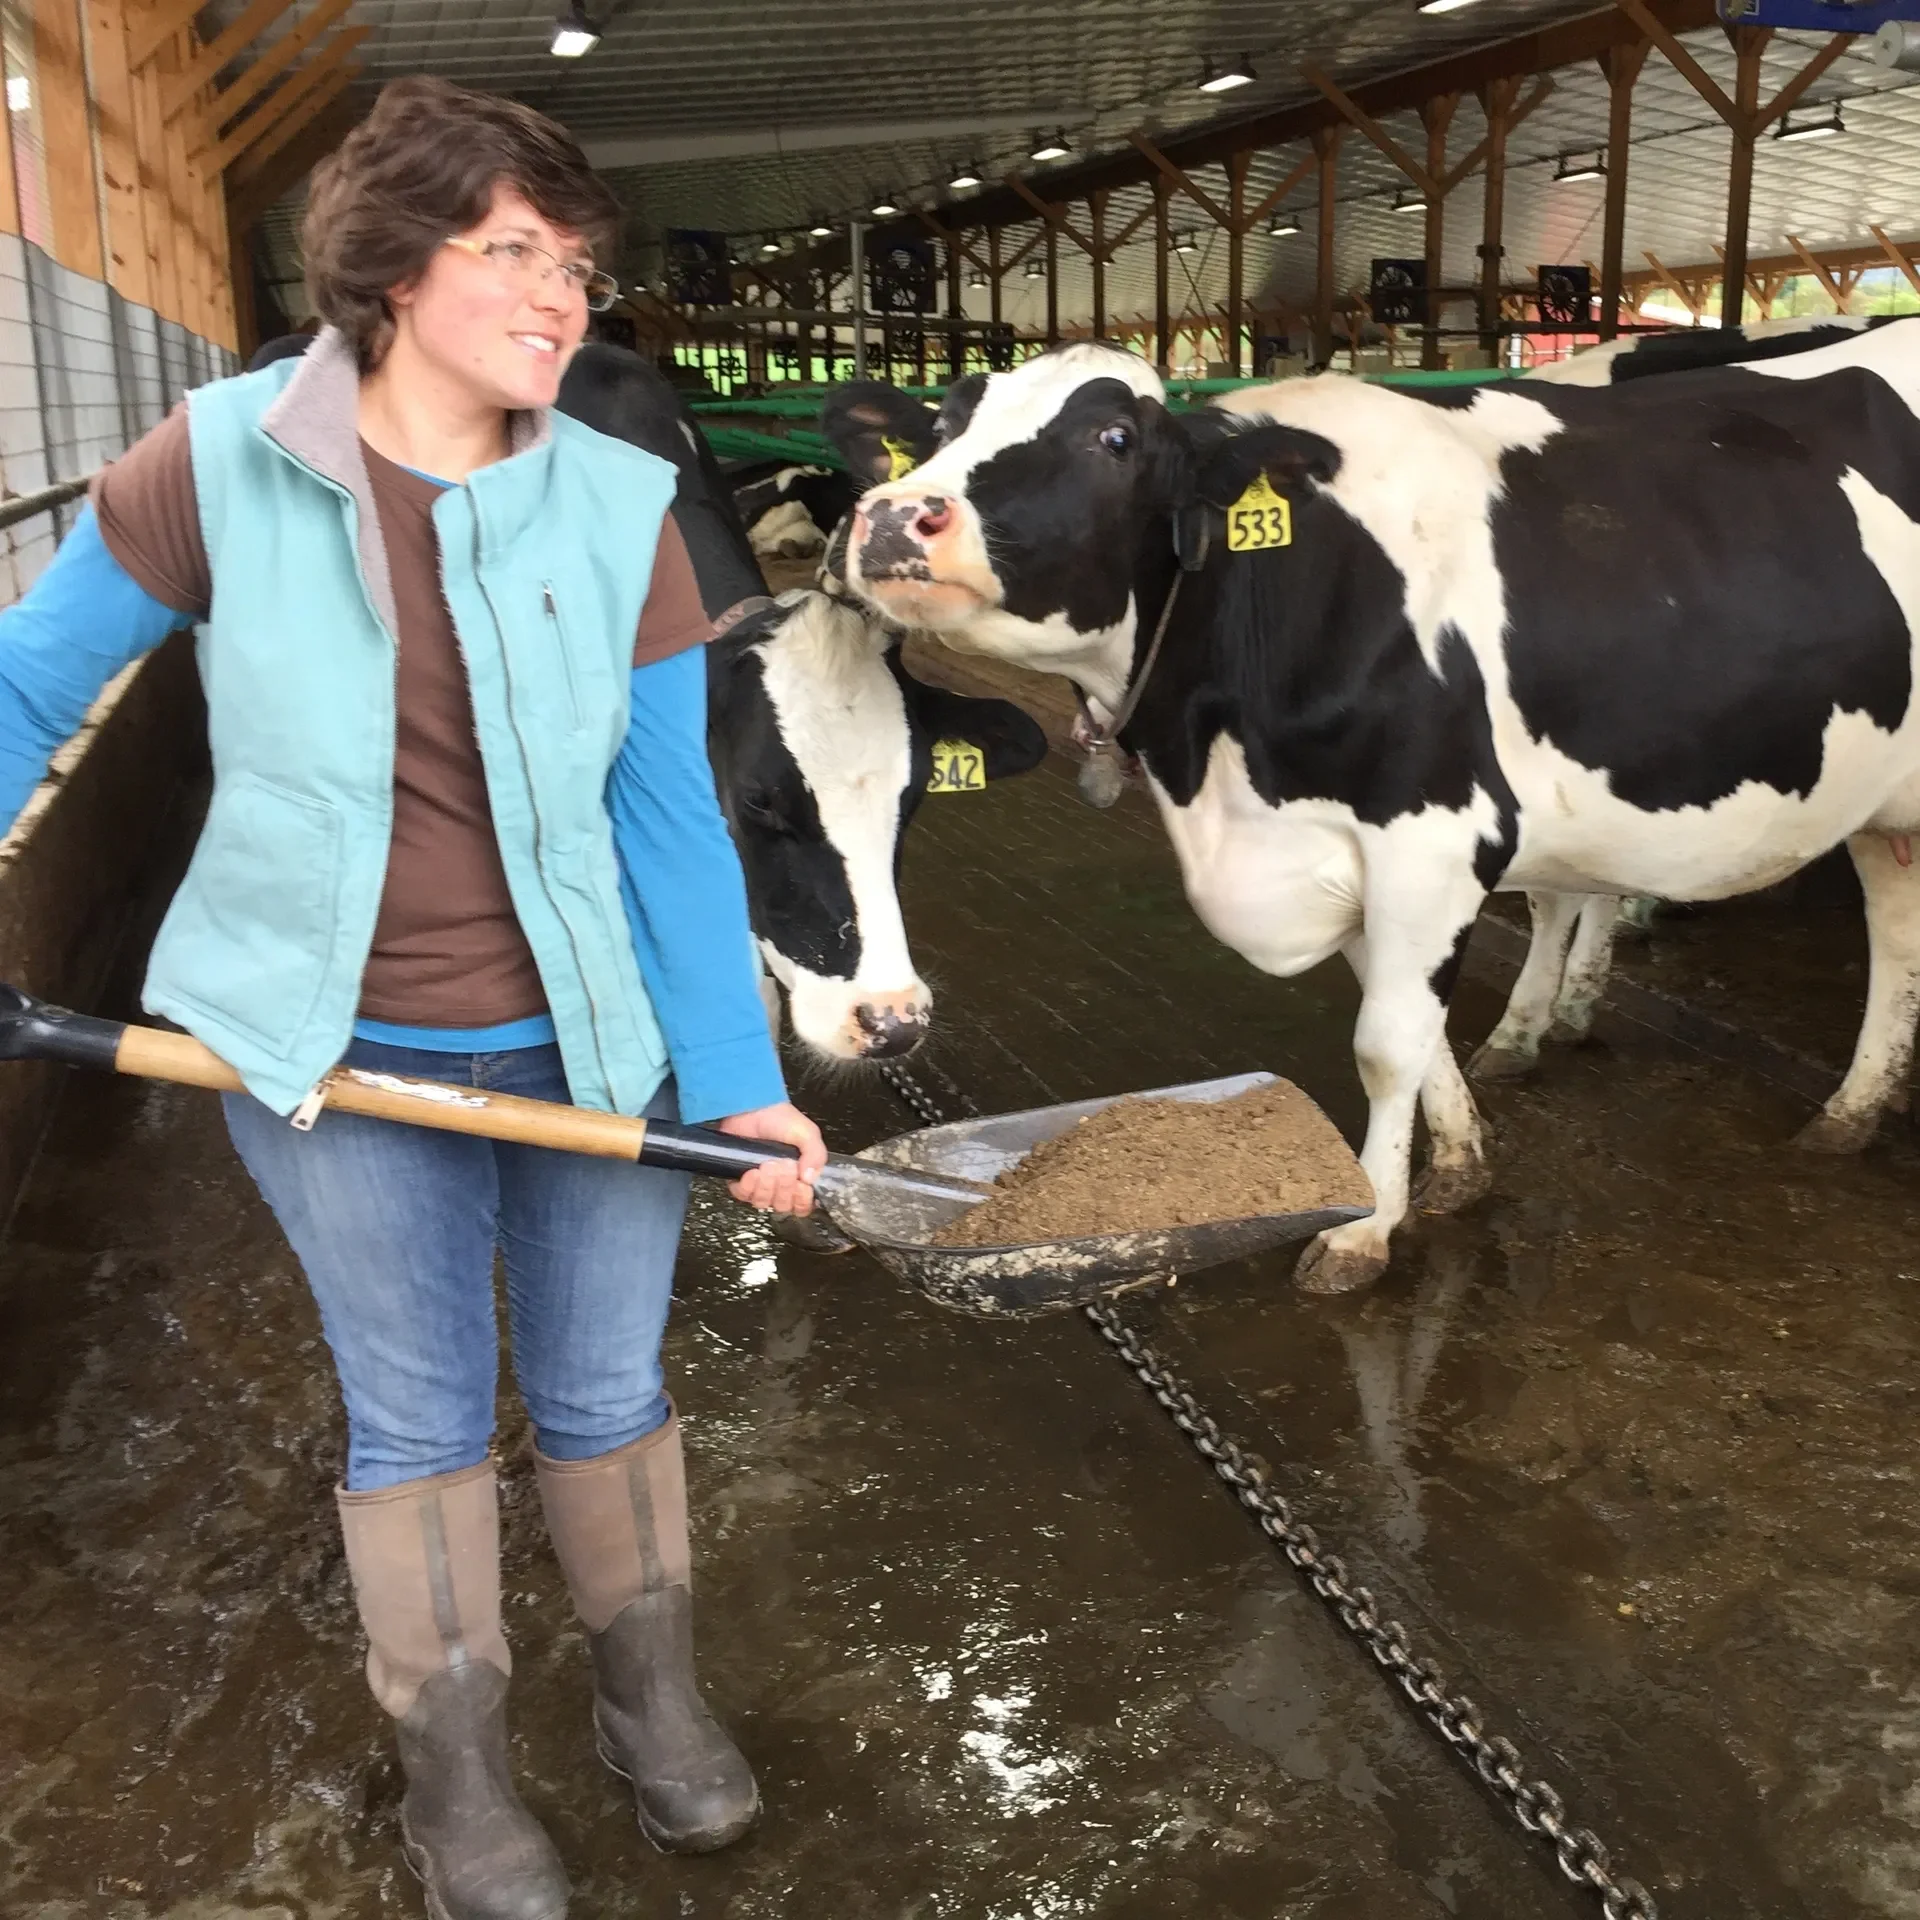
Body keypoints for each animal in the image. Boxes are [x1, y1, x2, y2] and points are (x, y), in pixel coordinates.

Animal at [837, 330, 1920, 1290]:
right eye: (945, 422)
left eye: (1115, 438)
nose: (890, 516)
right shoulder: (1343, 859)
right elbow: (1420, 1034)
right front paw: (1458, 1165)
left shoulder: (1431, 840)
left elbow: (1387, 1046)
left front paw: (1365, 1227)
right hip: (1884, 807)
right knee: (1892, 920)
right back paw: (1852, 1106)